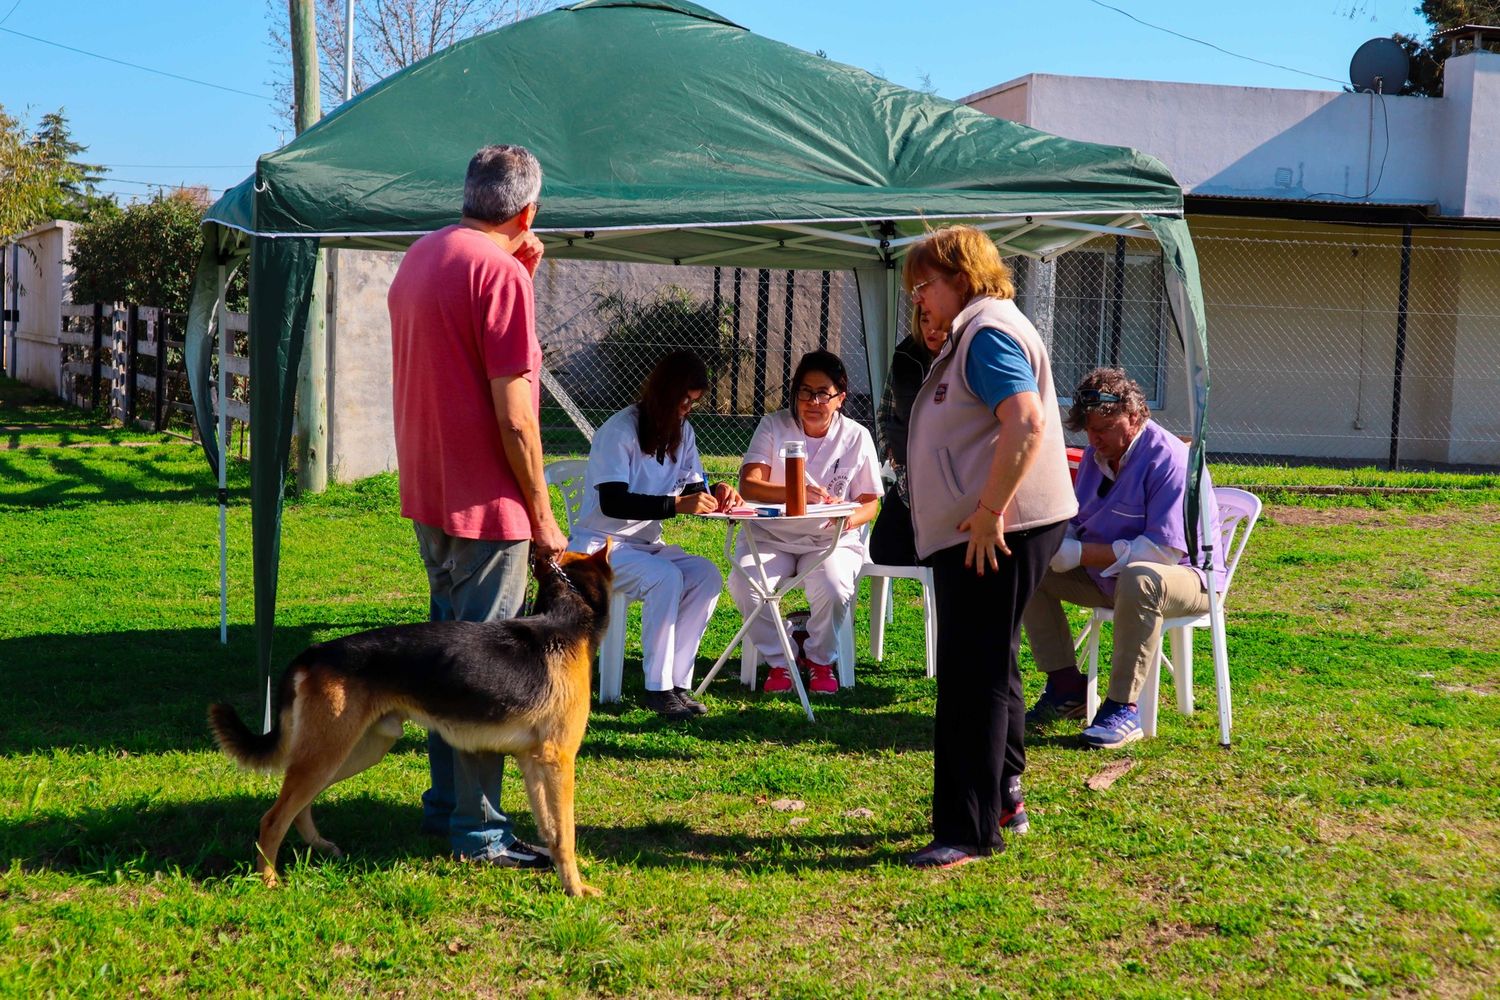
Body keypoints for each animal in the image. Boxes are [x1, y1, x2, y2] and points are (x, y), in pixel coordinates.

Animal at [208, 548, 612, 899]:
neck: (566, 617)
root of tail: (313, 653)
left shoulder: (534, 763)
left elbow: (552, 830)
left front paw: (562, 876)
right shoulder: (559, 762)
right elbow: (566, 833)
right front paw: (576, 889)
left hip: (349, 754)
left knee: (298, 805)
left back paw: (317, 846)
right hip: (328, 755)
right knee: (273, 819)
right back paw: (268, 879)